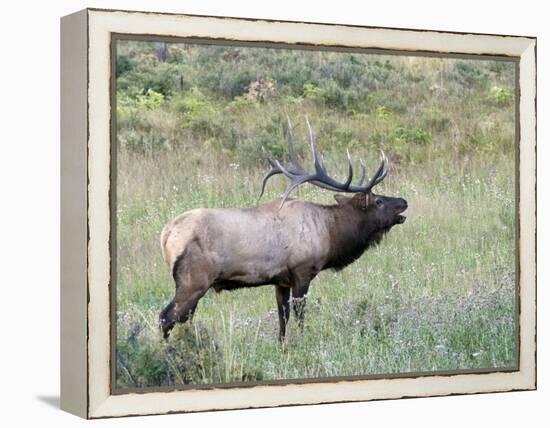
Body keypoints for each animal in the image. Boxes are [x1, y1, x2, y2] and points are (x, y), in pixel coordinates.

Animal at [160, 117, 410, 342]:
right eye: (378, 201)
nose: (404, 201)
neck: (330, 233)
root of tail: (166, 235)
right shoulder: (302, 272)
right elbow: (299, 317)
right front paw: (301, 344)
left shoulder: (281, 281)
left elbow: (283, 319)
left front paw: (283, 347)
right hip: (193, 281)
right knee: (166, 316)